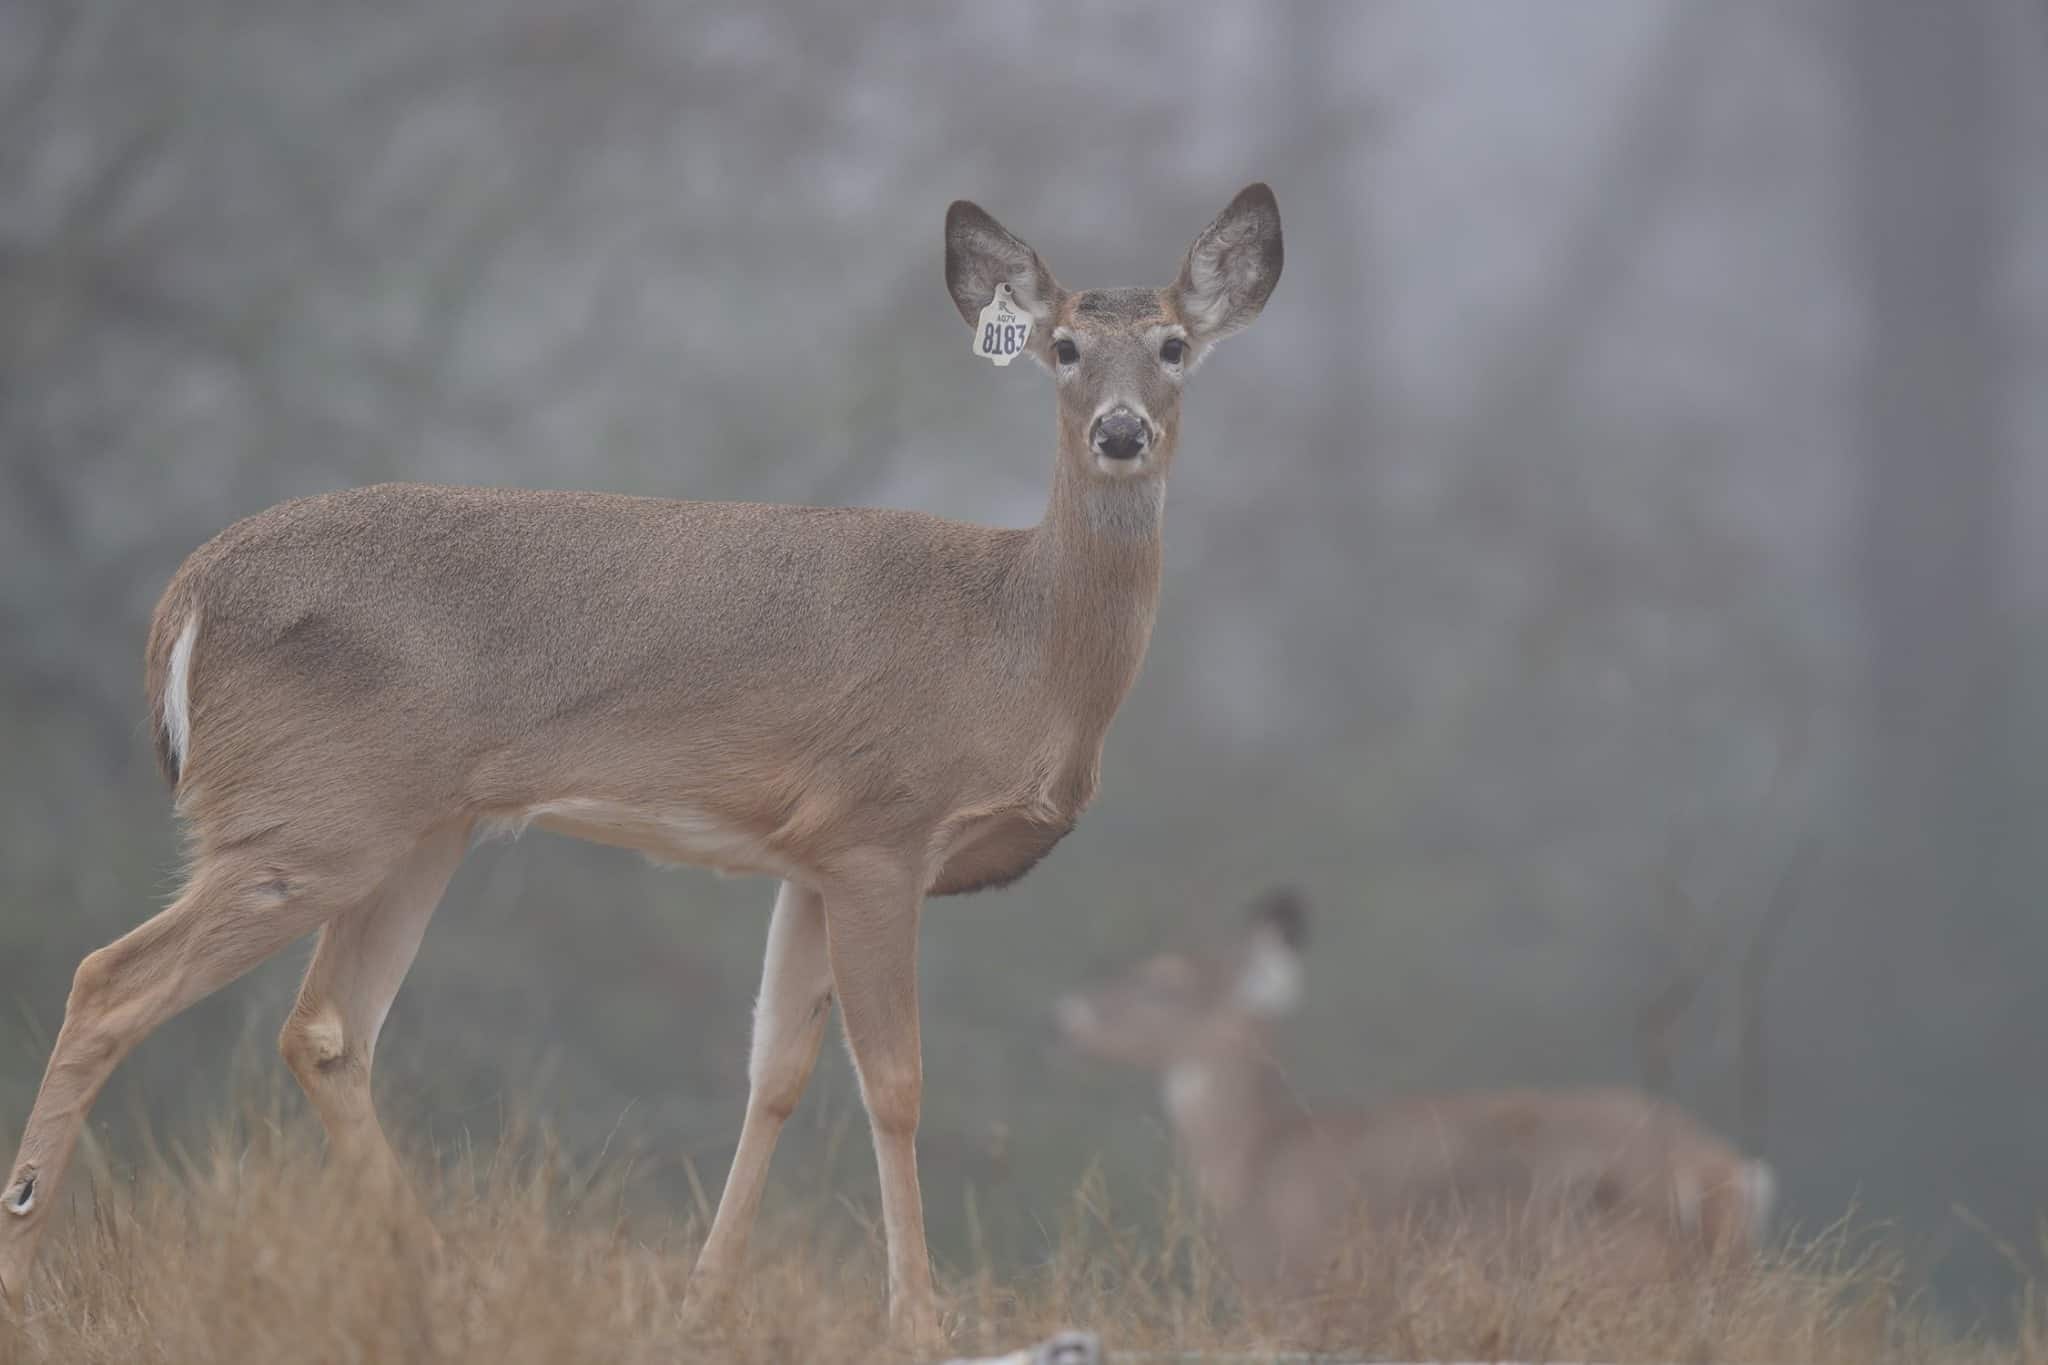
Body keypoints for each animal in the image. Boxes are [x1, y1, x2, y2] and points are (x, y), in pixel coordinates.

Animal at [0, 185, 1284, 1341]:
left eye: (1173, 346)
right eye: (1062, 347)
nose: (1120, 431)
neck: (1020, 649)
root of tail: (184, 599)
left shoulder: (809, 854)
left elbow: (773, 1071)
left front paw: (703, 1302)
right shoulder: (881, 830)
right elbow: (895, 1083)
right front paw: (917, 1320)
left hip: (414, 826)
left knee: (322, 1029)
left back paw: (437, 1281)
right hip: (310, 814)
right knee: (109, 982)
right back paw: (28, 1278)